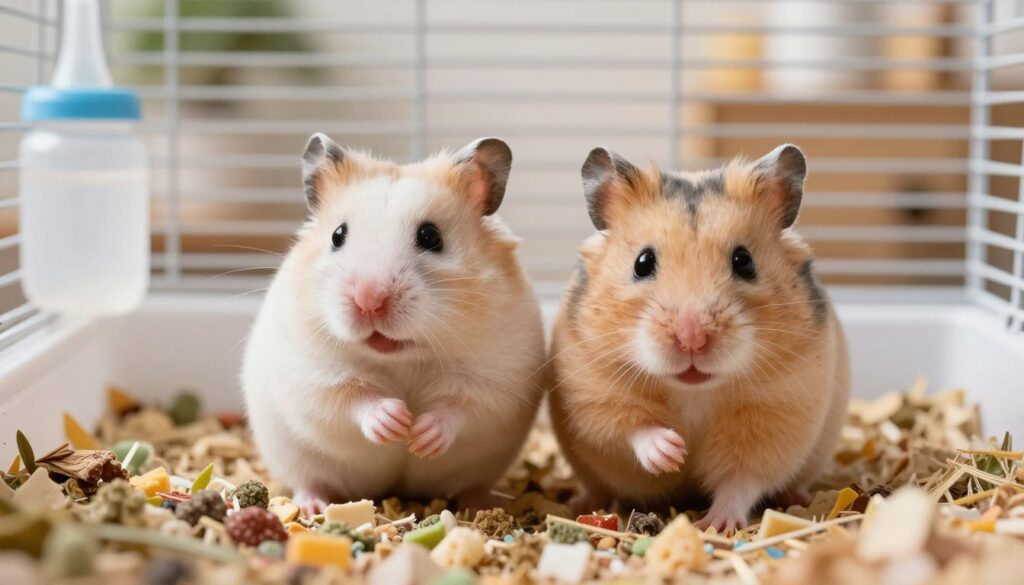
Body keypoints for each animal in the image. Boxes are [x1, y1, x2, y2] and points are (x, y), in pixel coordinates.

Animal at [242, 134, 546, 513]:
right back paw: (313, 506)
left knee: (472, 483)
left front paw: (419, 436)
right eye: (337, 235)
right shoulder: (313, 373)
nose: (368, 301)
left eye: (431, 236)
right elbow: (351, 399)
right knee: (309, 481)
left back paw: (482, 504)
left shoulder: (495, 381)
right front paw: (396, 422)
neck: (402, 358)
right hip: (294, 457)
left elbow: (461, 409)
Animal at [548, 144, 850, 532]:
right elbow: (632, 428)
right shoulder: (594, 394)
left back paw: (798, 496)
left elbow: (741, 481)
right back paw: (579, 502)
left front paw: (715, 524)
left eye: (744, 261)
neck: (693, 392)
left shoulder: (775, 418)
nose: (691, 338)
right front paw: (671, 452)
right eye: (642, 262)